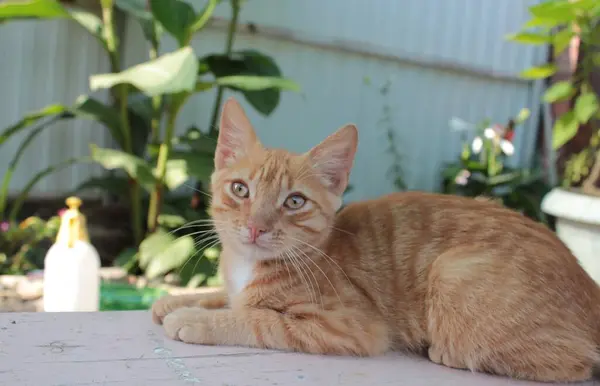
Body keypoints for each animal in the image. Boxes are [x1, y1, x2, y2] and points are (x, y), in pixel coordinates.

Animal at [154, 97, 600, 382]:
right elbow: (228, 298)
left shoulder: (350, 326)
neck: (246, 266)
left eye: (294, 201)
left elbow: (257, 319)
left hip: (452, 269)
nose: (255, 227)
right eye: (240, 190)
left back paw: (450, 352)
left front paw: (195, 318)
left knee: (574, 365)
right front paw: (178, 300)